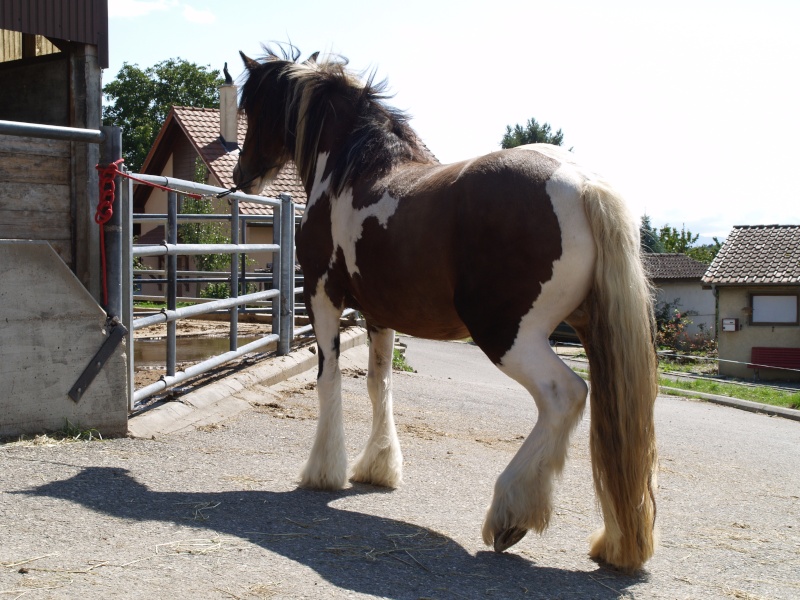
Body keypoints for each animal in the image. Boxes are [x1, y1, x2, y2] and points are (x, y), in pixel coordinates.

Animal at [231, 48, 656, 572]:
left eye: (253, 107)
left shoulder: (322, 295)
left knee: (566, 395)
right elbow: (379, 383)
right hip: (595, 334)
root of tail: (583, 184)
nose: (241, 174)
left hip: (507, 335)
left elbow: (328, 378)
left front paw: (323, 470)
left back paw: (510, 514)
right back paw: (616, 544)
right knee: (615, 427)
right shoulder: (379, 314)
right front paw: (377, 467)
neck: (353, 170)